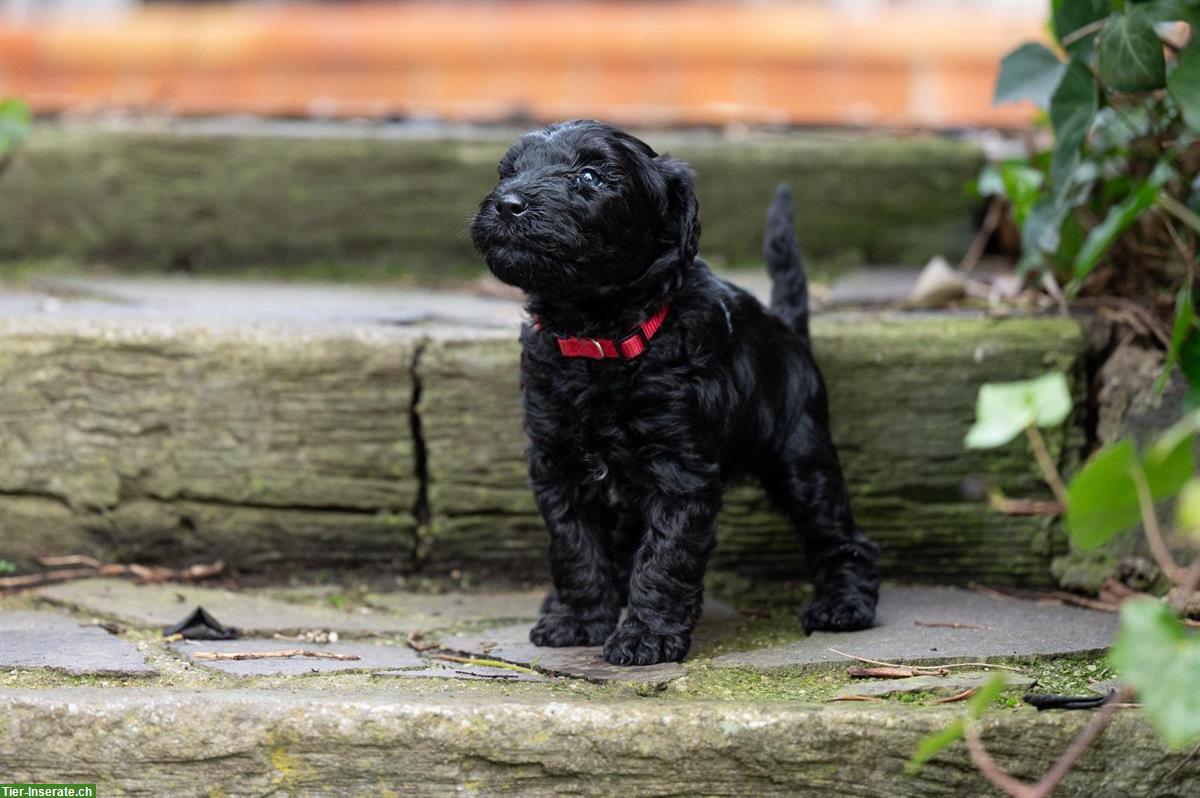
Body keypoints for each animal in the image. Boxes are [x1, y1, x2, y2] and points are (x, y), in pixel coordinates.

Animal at [470, 120, 883, 667]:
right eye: (508, 171)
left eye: (590, 175)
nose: (507, 203)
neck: (598, 339)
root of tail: (788, 331)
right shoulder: (556, 461)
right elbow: (574, 543)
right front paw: (579, 619)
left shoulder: (680, 467)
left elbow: (665, 554)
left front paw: (646, 636)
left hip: (801, 456)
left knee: (839, 533)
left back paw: (844, 604)